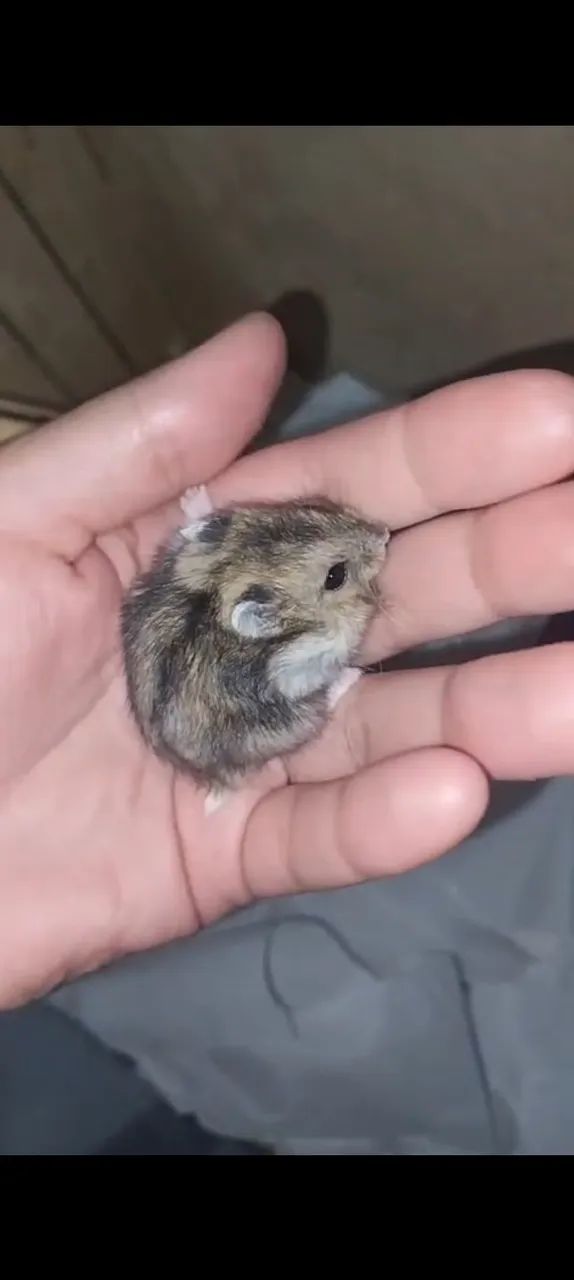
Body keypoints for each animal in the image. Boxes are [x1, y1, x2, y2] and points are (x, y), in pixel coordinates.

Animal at [121, 486, 390, 811]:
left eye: (312, 506)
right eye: (335, 576)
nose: (385, 534)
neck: (229, 577)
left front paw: (192, 497)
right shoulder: (305, 662)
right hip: (297, 723)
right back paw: (352, 676)